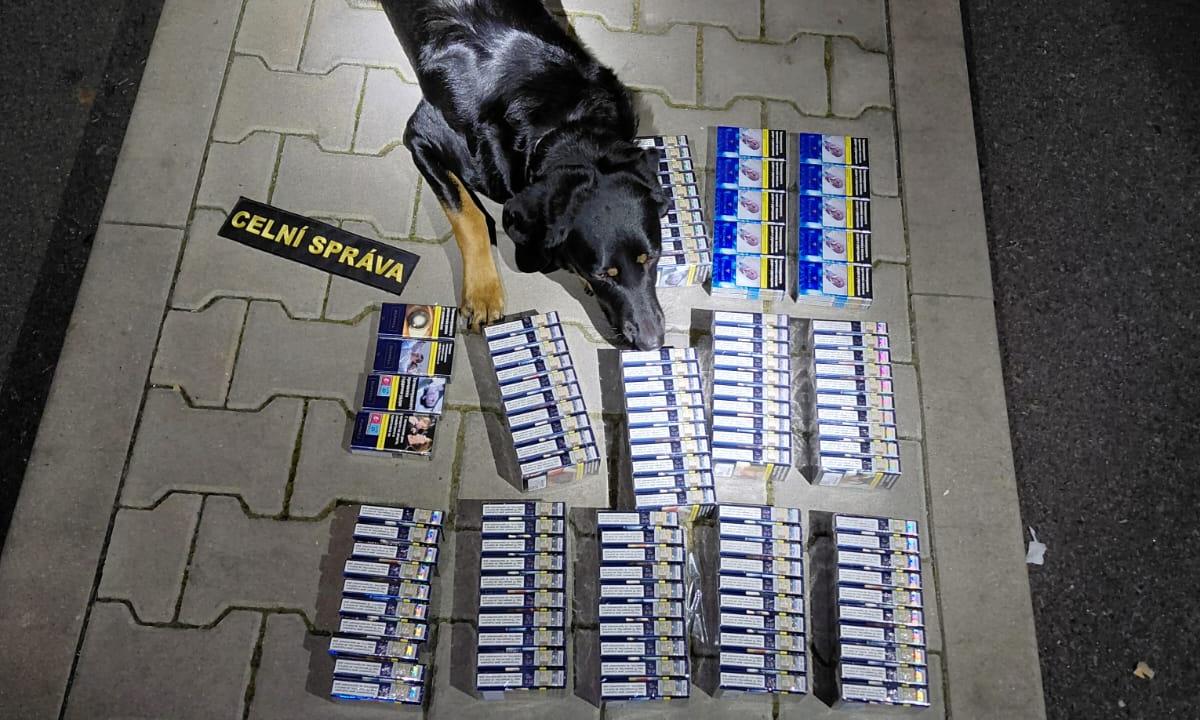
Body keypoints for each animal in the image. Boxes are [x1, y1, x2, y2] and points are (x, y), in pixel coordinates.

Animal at [379, 0, 668, 350]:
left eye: (652, 258)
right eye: (602, 274)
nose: (653, 343)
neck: (562, 125)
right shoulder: (421, 134)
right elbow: (469, 216)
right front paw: (483, 293)